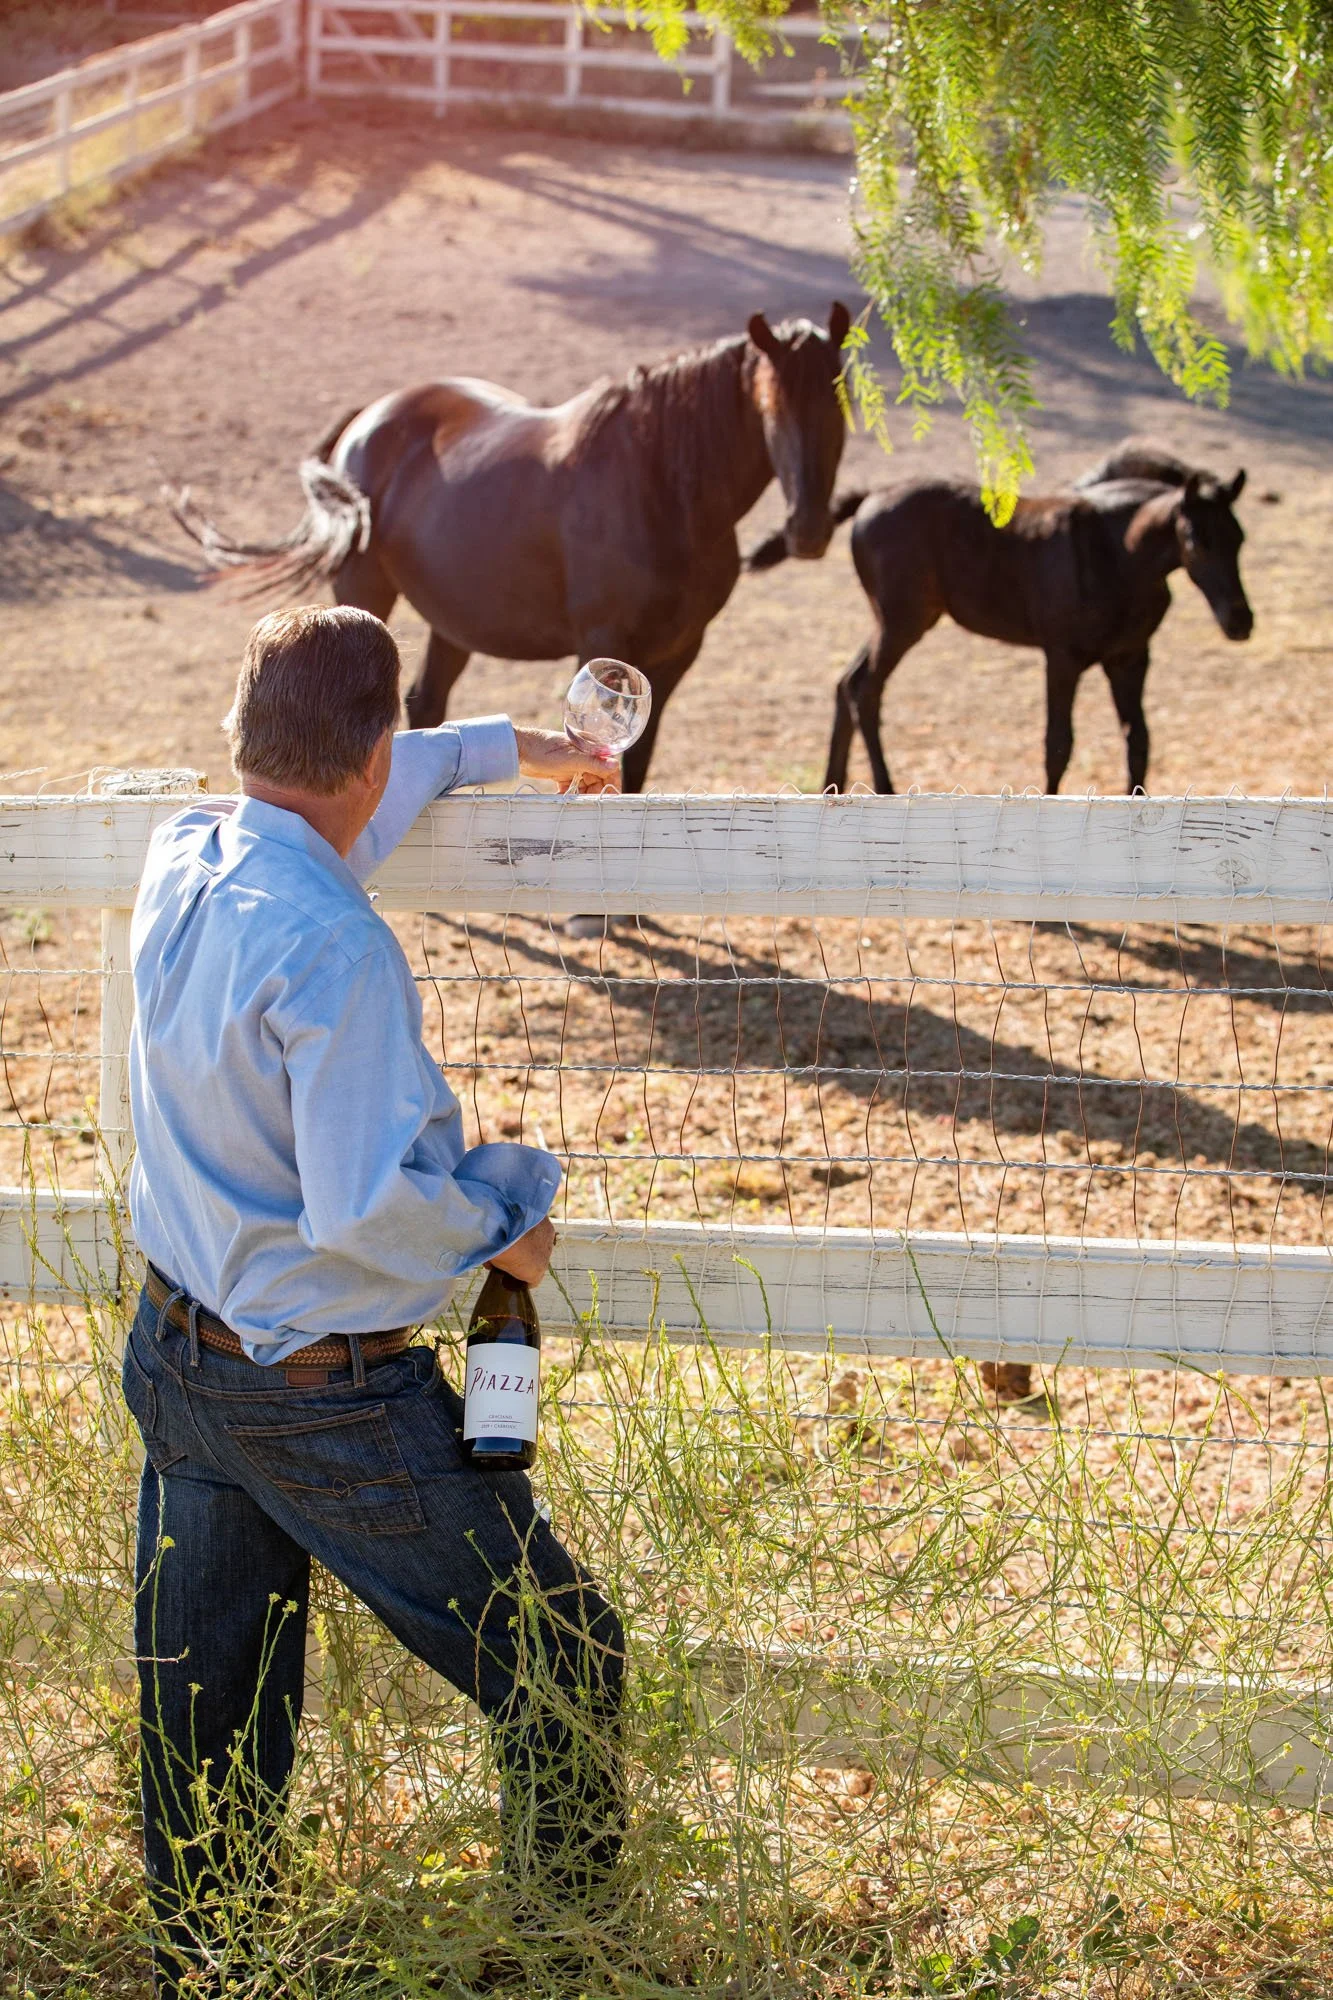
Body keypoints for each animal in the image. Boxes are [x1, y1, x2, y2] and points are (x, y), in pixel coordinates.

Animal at [169, 306, 850, 793]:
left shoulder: (679, 652)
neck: (658, 487)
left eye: (841, 406)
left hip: (453, 619)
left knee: (427, 701)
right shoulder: (607, 644)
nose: (809, 531)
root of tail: (369, 417)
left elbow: (637, 765)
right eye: (772, 408)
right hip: (365, 593)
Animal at [746, 444, 1251, 795]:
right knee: (863, 688)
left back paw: (831, 786)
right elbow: (1058, 745)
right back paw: (885, 788)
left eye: (1239, 538)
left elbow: (1139, 741)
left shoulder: (1130, 658)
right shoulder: (1062, 658)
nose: (1240, 621)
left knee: (845, 683)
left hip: (892, 622)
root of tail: (872, 495)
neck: (1118, 556)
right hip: (902, 622)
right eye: (1196, 539)